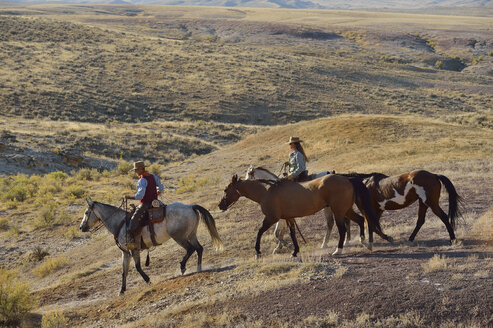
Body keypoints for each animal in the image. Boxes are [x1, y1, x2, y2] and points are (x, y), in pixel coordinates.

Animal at [79, 197, 223, 294]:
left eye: (86, 213)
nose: (81, 227)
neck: (120, 223)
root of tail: (191, 206)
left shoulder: (134, 250)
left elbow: (137, 267)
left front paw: (148, 280)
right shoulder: (125, 253)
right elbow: (124, 271)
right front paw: (122, 290)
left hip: (180, 237)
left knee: (191, 249)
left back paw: (183, 267)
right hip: (191, 235)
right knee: (199, 248)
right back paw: (199, 268)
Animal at [219, 173, 392, 258]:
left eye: (226, 189)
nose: (220, 205)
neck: (267, 192)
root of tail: (347, 178)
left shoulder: (271, 218)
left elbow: (260, 232)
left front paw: (258, 252)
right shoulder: (288, 218)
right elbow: (292, 234)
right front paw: (295, 251)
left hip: (338, 212)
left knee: (343, 230)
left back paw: (338, 250)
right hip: (345, 210)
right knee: (361, 220)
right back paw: (366, 243)